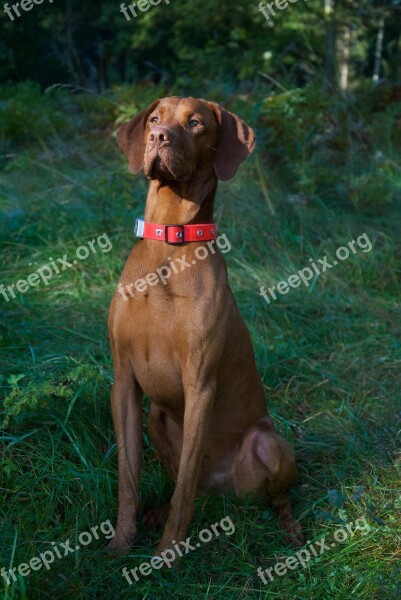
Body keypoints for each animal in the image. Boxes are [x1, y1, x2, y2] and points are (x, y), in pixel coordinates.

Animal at [106, 97, 304, 552]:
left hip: (268, 443)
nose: (158, 137)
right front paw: (121, 542)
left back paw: (292, 531)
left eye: (195, 123)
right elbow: (128, 480)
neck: (168, 243)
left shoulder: (200, 384)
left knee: (274, 495)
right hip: (157, 418)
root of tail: (225, 492)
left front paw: (167, 554)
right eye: (155, 119)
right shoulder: (123, 381)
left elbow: (183, 489)